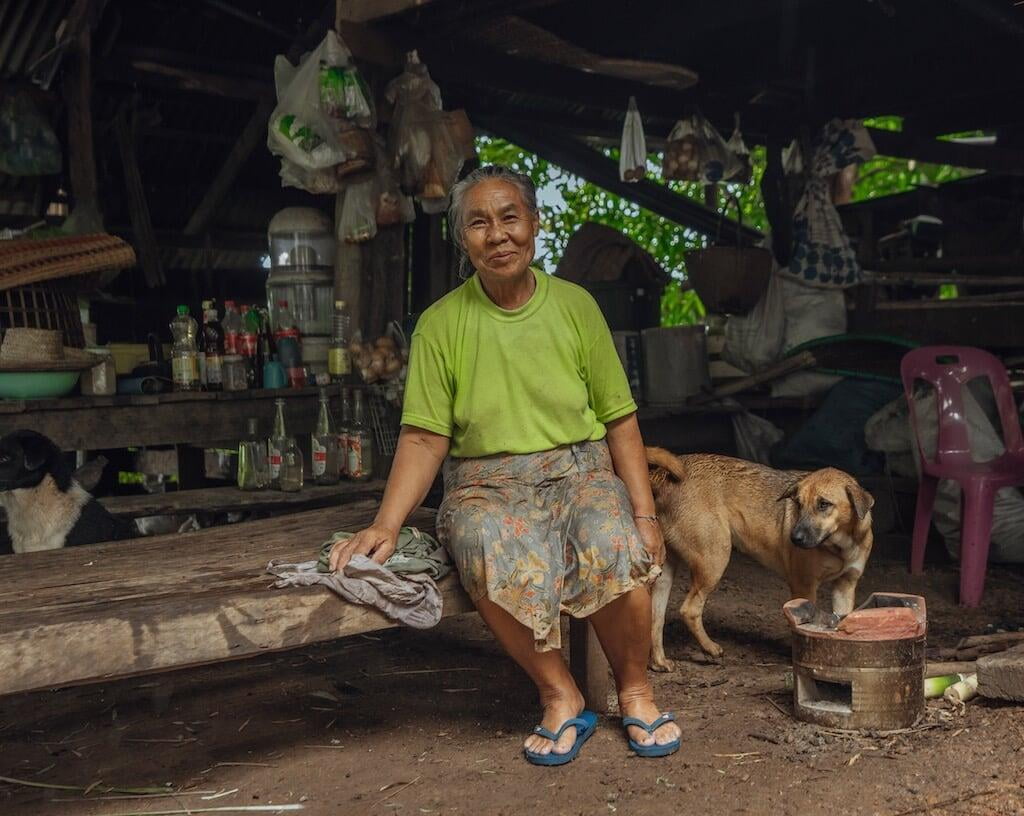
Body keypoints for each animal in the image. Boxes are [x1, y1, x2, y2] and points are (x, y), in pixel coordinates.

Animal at [647, 446, 872, 667]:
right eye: (798, 504)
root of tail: (663, 475)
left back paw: (660, 662)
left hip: (666, 574)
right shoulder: (804, 586)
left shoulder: (845, 586)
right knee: (689, 610)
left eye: (824, 504)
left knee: (656, 618)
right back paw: (710, 649)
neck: (841, 545)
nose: (794, 538)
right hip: (715, 560)